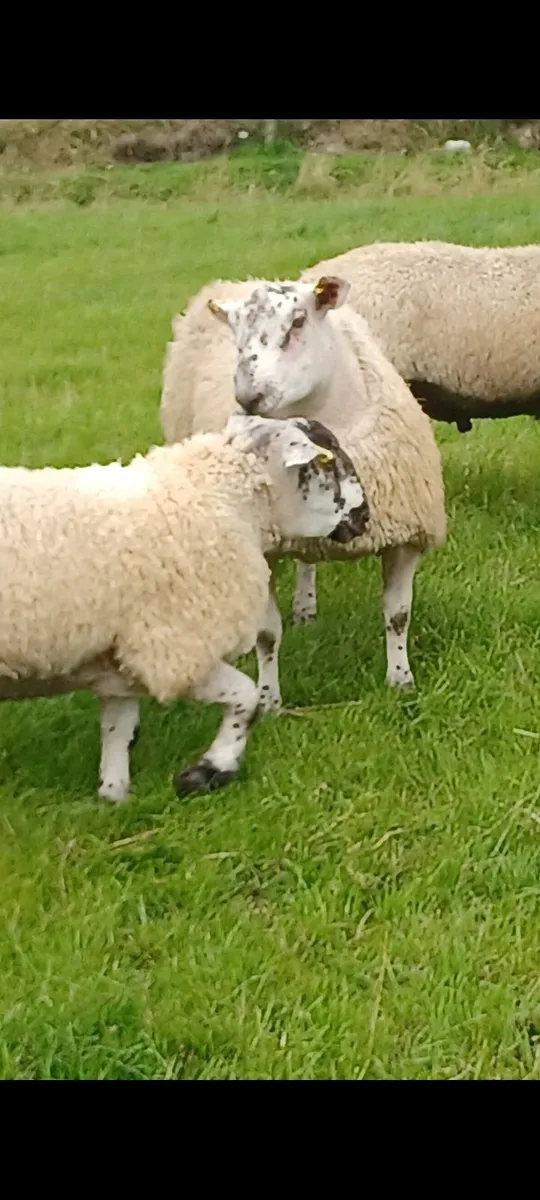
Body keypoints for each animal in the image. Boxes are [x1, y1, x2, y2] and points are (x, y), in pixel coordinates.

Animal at [0, 412, 368, 802]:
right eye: (328, 461)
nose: (365, 516)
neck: (217, 496)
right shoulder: (177, 651)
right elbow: (247, 697)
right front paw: (210, 770)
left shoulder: (122, 664)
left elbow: (117, 736)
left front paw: (114, 799)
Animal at [160, 275, 446, 709]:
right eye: (235, 335)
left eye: (297, 322)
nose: (248, 398)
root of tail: (234, 282)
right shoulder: (263, 549)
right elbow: (267, 636)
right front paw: (268, 701)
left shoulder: (406, 536)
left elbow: (398, 616)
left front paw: (401, 682)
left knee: (307, 560)